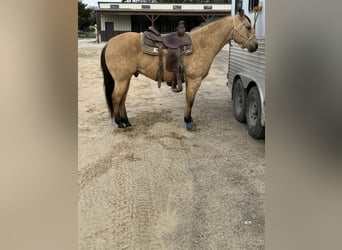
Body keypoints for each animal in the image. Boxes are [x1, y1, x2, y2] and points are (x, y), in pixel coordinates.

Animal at [100, 10, 258, 130]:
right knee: (116, 97)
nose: (255, 46)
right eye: (248, 27)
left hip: (126, 79)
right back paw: (120, 123)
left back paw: (126, 121)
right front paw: (188, 121)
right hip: (121, 79)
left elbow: (189, 100)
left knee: (122, 98)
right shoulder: (194, 80)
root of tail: (109, 43)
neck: (201, 43)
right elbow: (190, 100)